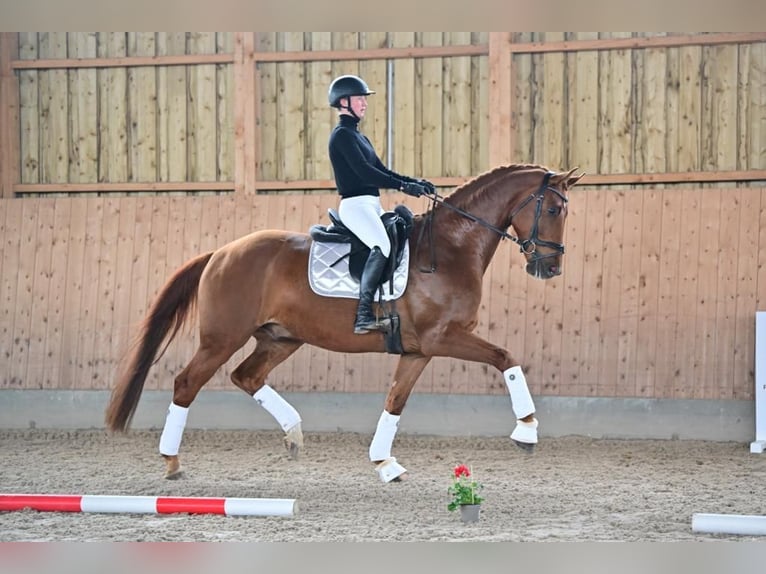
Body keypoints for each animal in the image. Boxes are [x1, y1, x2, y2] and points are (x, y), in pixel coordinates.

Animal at [105, 163, 583, 482]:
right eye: (554, 210)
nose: (551, 268)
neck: (450, 247)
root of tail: (221, 252)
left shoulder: (418, 351)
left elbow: (395, 401)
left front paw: (385, 463)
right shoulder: (444, 338)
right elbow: (506, 357)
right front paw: (527, 430)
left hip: (281, 339)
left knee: (246, 376)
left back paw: (294, 435)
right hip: (222, 337)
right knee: (187, 383)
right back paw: (172, 463)